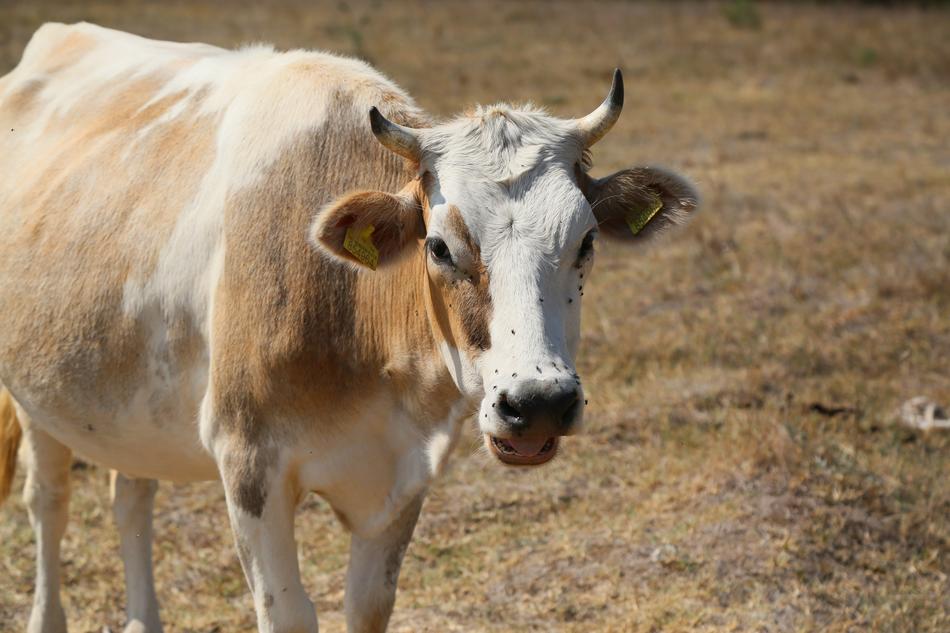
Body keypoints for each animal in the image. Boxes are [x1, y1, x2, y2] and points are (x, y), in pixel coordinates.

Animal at [0, 22, 698, 633]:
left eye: (586, 241)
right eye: (439, 247)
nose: (539, 403)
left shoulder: (405, 471)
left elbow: (367, 607)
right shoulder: (248, 463)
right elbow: (288, 613)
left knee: (131, 497)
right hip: (37, 400)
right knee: (49, 504)